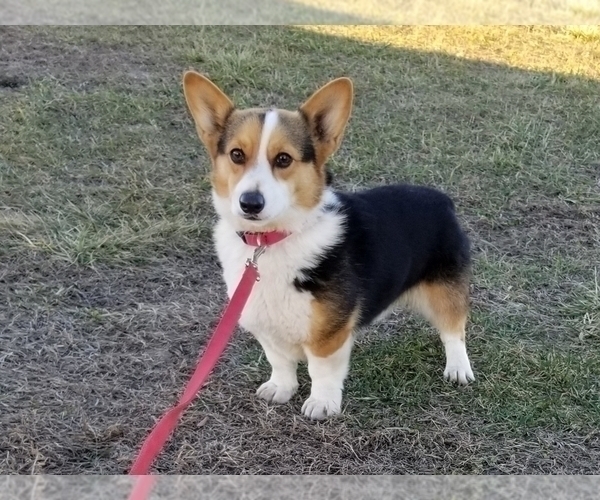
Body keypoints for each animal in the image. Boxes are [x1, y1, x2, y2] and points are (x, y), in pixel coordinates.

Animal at [183, 72, 474, 420]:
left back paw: (458, 368)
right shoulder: (265, 326)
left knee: (453, 329)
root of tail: (441, 199)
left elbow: (321, 370)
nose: (250, 203)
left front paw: (322, 403)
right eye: (237, 155)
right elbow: (279, 361)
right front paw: (281, 388)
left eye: (283, 159)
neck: (271, 240)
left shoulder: (327, 335)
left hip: (446, 289)